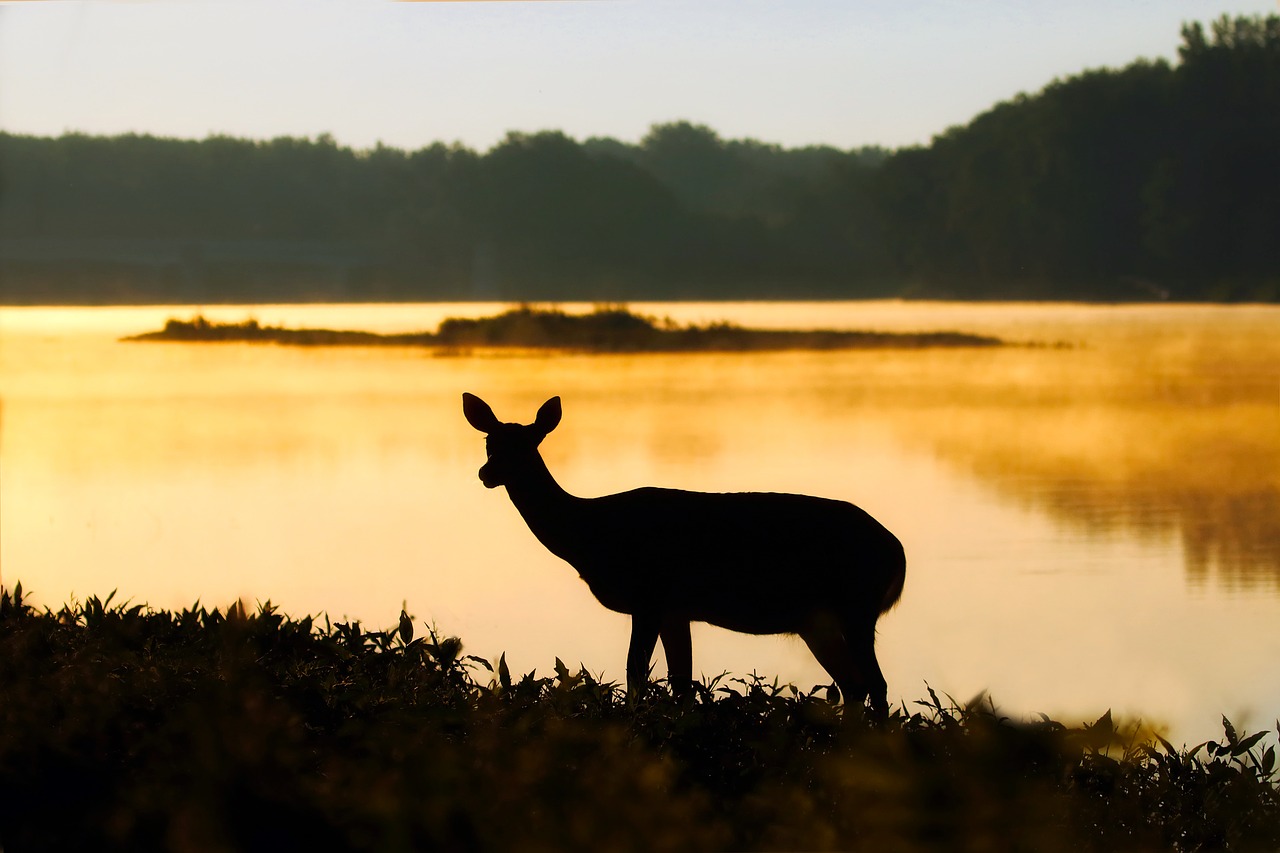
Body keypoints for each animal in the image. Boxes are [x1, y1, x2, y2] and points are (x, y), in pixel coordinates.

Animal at [465, 391, 906, 717]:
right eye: (489, 442)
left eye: (528, 445)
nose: (486, 474)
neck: (591, 535)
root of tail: (897, 553)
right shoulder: (676, 610)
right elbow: (681, 685)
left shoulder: (649, 596)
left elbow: (637, 675)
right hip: (817, 620)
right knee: (854, 685)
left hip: (856, 603)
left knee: (876, 684)